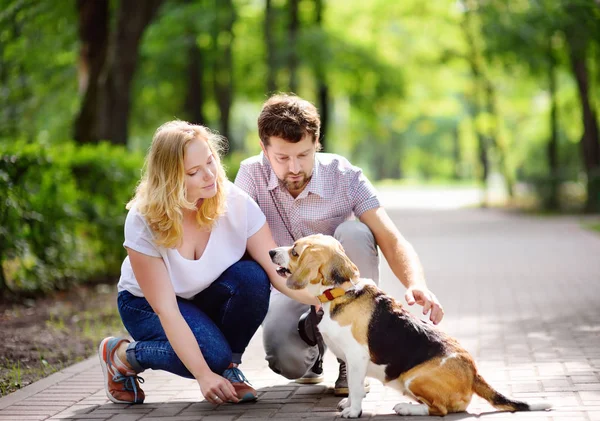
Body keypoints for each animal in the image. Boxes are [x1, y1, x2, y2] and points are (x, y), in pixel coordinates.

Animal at [272, 233, 552, 416]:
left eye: (295, 250)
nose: (271, 252)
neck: (340, 292)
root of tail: (473, 373)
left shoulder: (356, 356)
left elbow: (355, 387)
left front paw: (353, 411)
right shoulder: (350, 361)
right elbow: (351, 386)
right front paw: (350, 404)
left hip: (413, 378)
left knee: (439, 410)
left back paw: (406, 408)